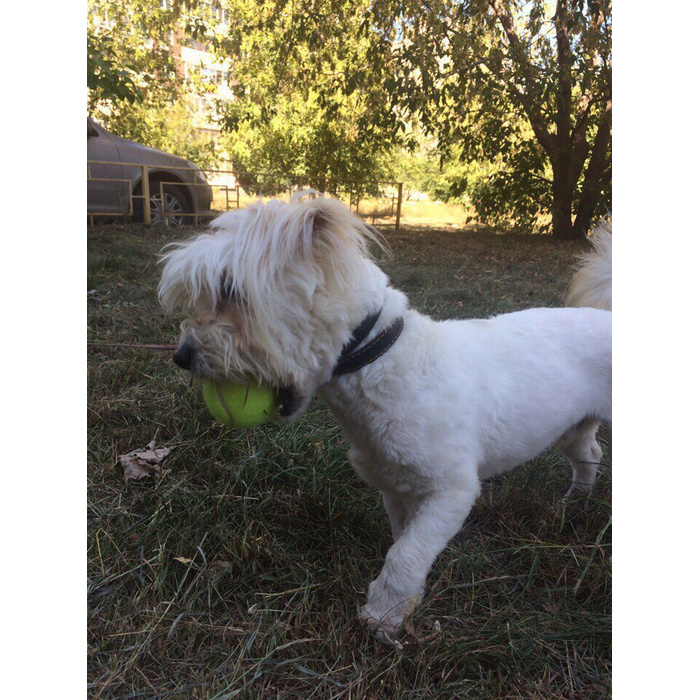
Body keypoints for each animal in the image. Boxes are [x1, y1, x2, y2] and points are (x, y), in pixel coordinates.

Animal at [160, 194, 612, 644]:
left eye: (230, 291)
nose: (181, 356)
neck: (384, 360)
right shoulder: (397, 487)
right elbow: (404, 543)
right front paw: (406, 600)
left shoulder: (452, 490)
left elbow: (406, 554)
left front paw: (383, 616)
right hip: (571, 427)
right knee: (588, 453)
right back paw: (572, 504)